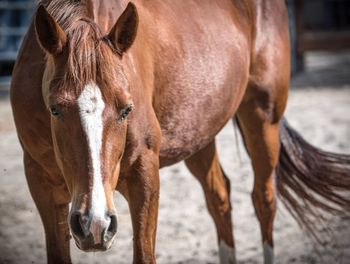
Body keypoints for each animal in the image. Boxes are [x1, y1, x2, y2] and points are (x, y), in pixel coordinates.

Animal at [10, 0, 350, 264]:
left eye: (126, 110)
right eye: (55, 109)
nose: (95, 224)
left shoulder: (144, 175)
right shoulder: (39, 181)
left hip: (262, 118)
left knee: (264, 199)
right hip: (198, 135)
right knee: (219, 195)